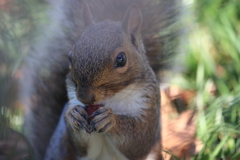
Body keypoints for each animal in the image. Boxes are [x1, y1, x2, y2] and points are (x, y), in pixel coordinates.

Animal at [19, 0, 180, 160]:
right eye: (70, 56)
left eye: (121, 59)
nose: (84, 97)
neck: (112, 98)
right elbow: (82, 147)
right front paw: (73, 116)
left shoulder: (148, 103)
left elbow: (139, 142)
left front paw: (111, 119)